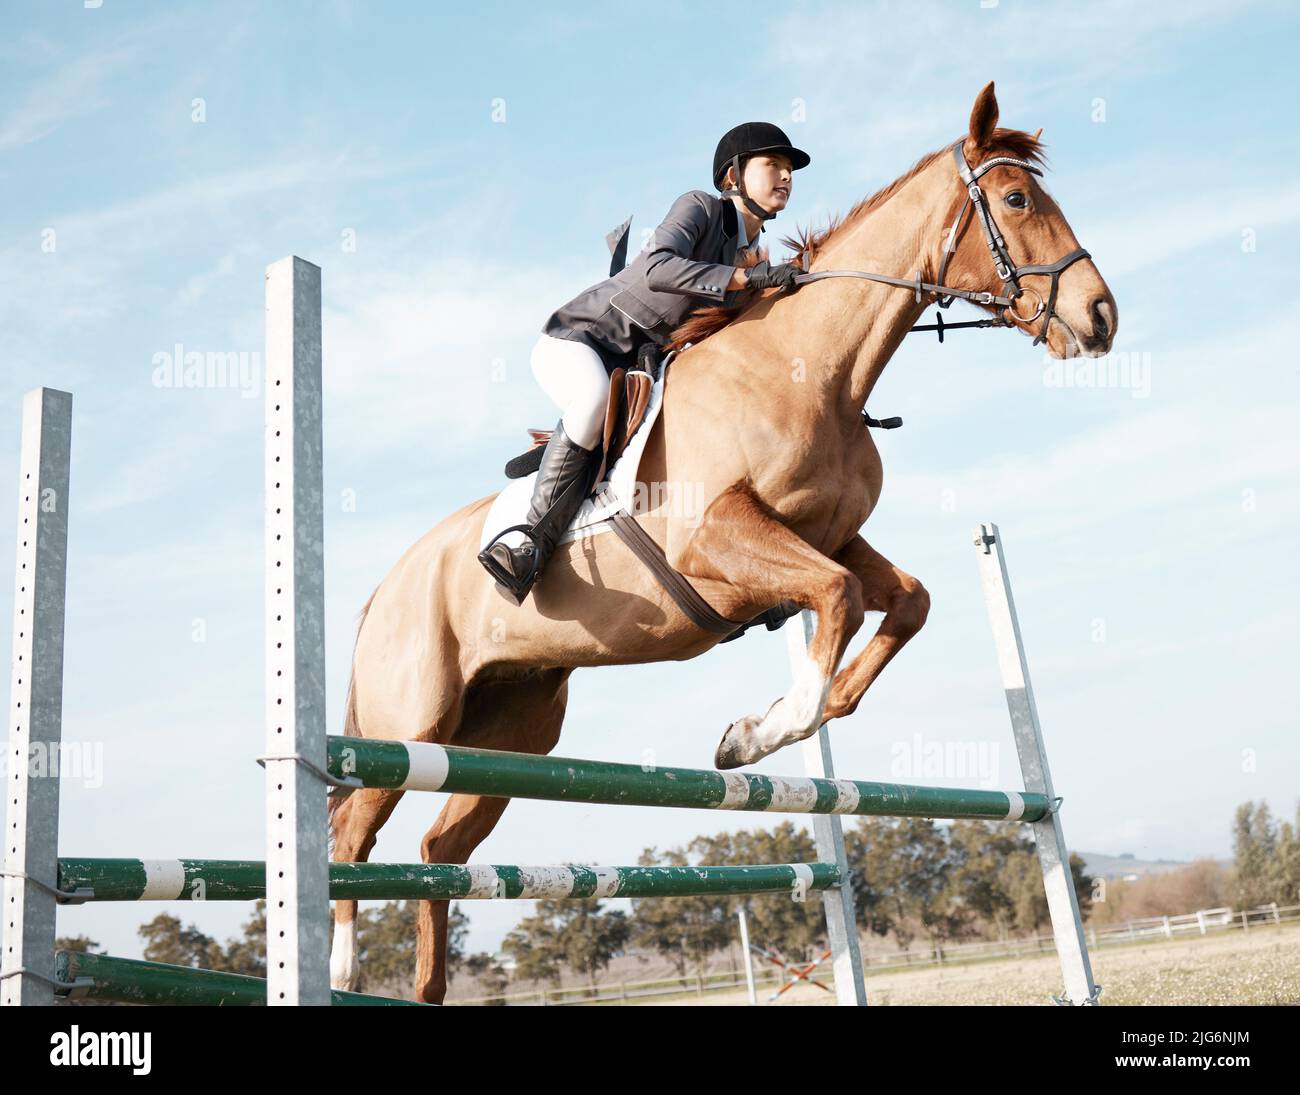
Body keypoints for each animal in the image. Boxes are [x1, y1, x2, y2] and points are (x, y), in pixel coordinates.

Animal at [327, 85, 1118, 1003]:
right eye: (1018, 200)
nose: (1101, 316)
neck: (810, 367)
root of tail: (382, 589)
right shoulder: (721, 539)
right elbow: (838, 601)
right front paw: (760, 732)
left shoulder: (831, 536)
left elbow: (900, 602)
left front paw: (774, 722)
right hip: (412, 718)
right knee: (351, 829)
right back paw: (337, 963)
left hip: (509, 731)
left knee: (439, 850)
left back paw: (423, 983)